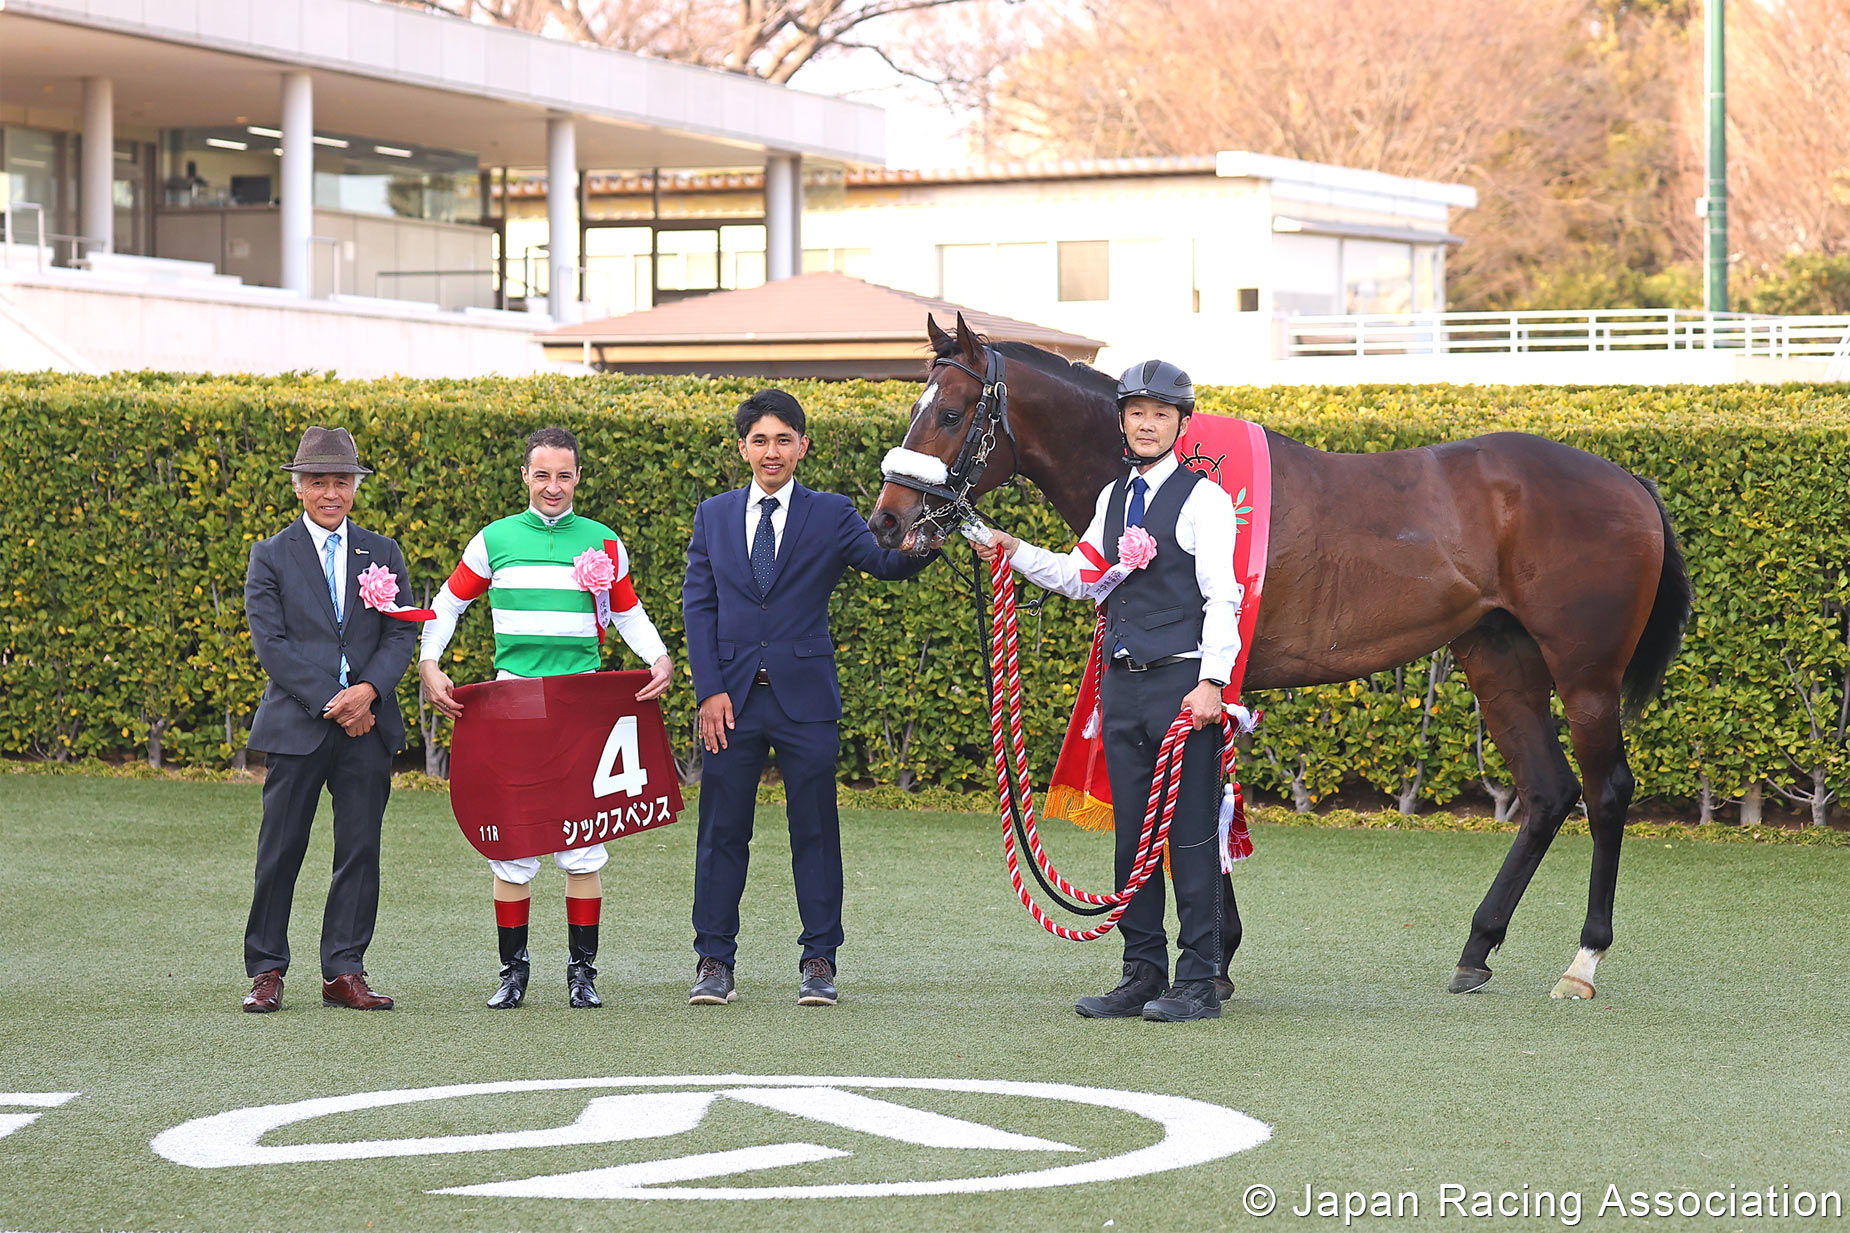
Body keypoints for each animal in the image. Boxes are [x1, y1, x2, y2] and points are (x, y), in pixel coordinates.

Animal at [869, 314, 1692, 999]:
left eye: (949, 413)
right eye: (916, 405)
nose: (888, 521)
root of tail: (1630, 481)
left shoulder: (1209, 685)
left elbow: (1196, 814)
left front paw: (1214, 963)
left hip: (1585, 676)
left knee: (1607, 791)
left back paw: (1583, 961)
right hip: (1499, 657)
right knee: (1549, 792)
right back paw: (1476, 948)